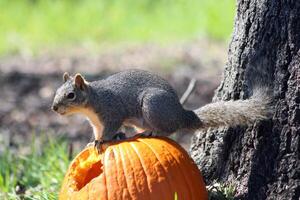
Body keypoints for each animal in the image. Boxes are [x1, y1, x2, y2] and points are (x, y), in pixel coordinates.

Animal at [52, 69, 274, 152]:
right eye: (56, 91)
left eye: (71, 95)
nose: (53, 107)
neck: (92, 102)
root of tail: (181, 114)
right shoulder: (96, 123)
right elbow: (98, 132)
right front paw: (93, 142)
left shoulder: (112, 113)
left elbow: (109, 129)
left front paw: (102, 141)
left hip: (152, 105)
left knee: (170, 129)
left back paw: (152, 132)